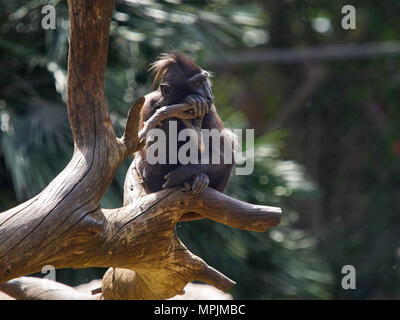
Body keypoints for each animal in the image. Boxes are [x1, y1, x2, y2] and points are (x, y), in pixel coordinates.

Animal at [128, 52, 234, 198]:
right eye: (196, 83)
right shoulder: (148, 104)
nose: (208, 95)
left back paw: (199, 178)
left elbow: (223, 155)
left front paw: (181, 174)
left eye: (204, 81)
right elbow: (149, 156)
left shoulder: (209, 109)